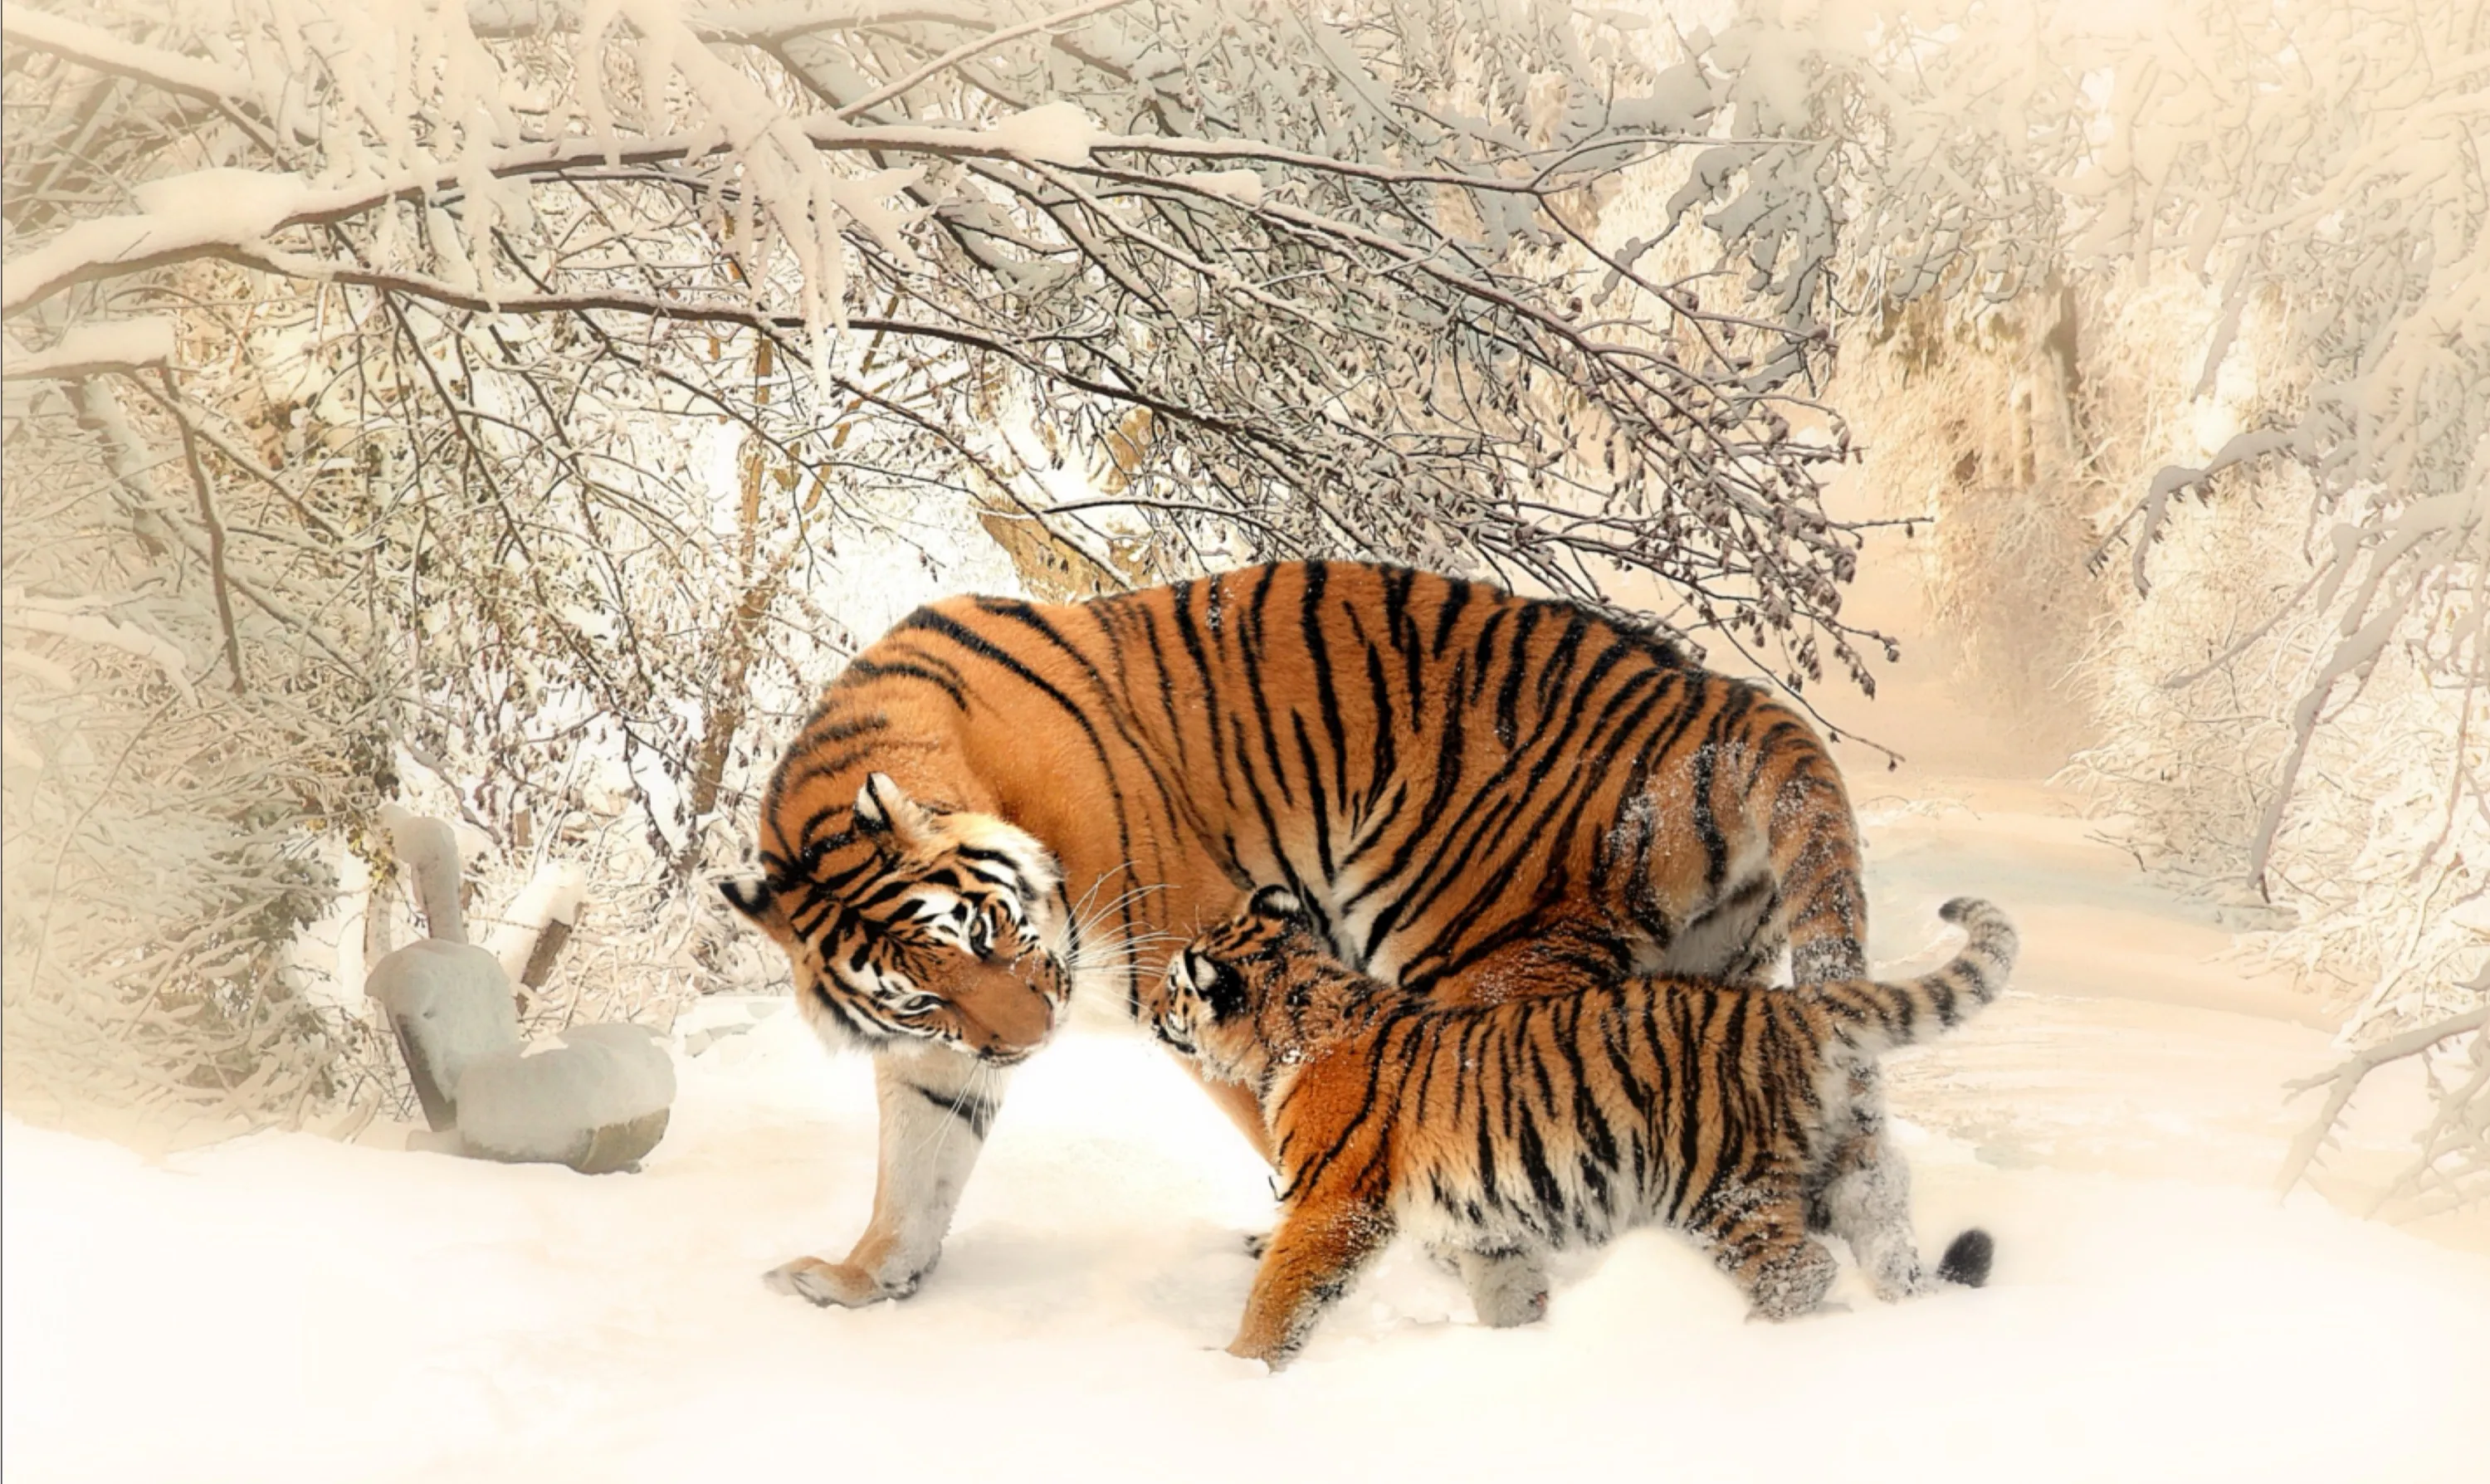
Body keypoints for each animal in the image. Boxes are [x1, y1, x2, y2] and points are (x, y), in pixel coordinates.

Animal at [723, 560, 1885, 1310]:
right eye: (924, 993)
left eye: (989, 933)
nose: (1029, 1041)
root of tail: (1718, 696)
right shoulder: (937, 1052)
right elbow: (916, 1164)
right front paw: (862, 1279)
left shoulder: (1199, 958)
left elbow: (1290, 1122)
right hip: (1706, 981)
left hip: (1477, 954)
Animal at [1151, 886, 2015, 1370]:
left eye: (1174, 987)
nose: (1153, 1010)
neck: (1299, 1017)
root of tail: (1791, 1005)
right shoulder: (1486, 1222)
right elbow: (1508, 1292)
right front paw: (1518, 1349)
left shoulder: (1332, 1204)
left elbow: (1281, 1294)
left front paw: (1235, 1370)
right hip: (1840, 1168)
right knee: (1885, 1236)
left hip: (1721, 1186)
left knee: (1798, 1270)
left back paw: (1750, 1340)